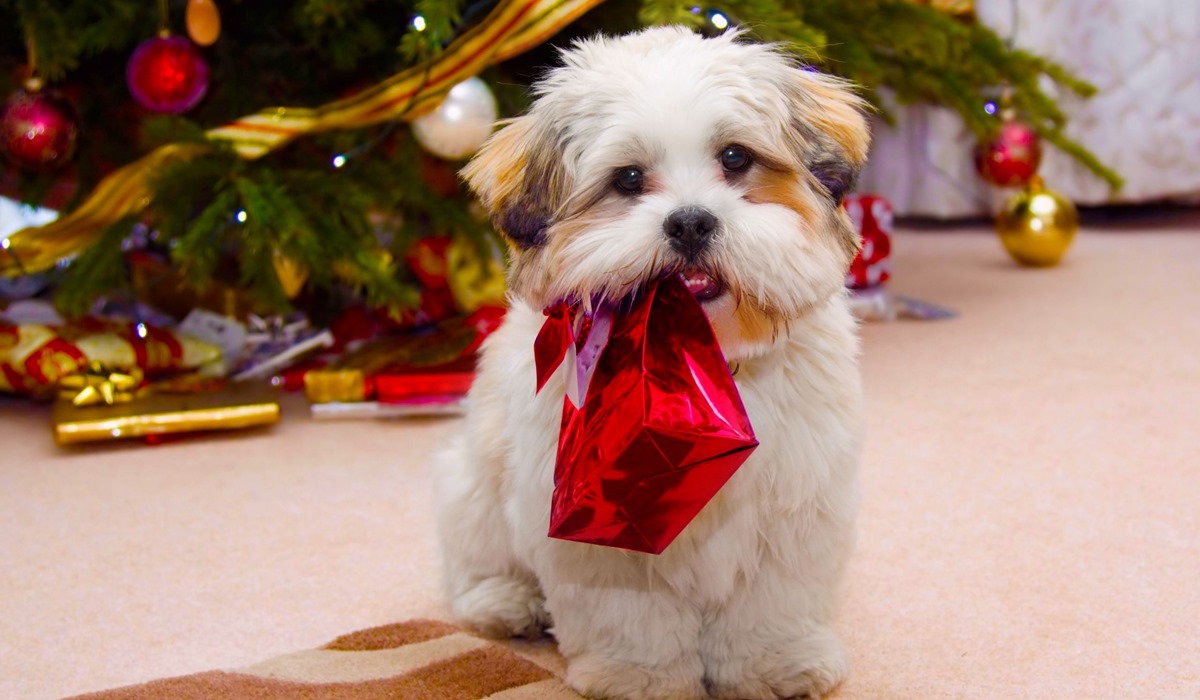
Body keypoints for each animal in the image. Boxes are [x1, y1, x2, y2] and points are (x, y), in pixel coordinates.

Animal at [436, 25, 868, 700]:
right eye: (629, 178)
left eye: (735, 158)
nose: (690, 221)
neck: (696, 363)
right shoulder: (600, 524)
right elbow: (630, 616)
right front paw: (637, 676)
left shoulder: (796, 506)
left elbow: (773, 604)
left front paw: (774, 663)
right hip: (472, 484)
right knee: (473, 562)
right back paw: (506, 601)